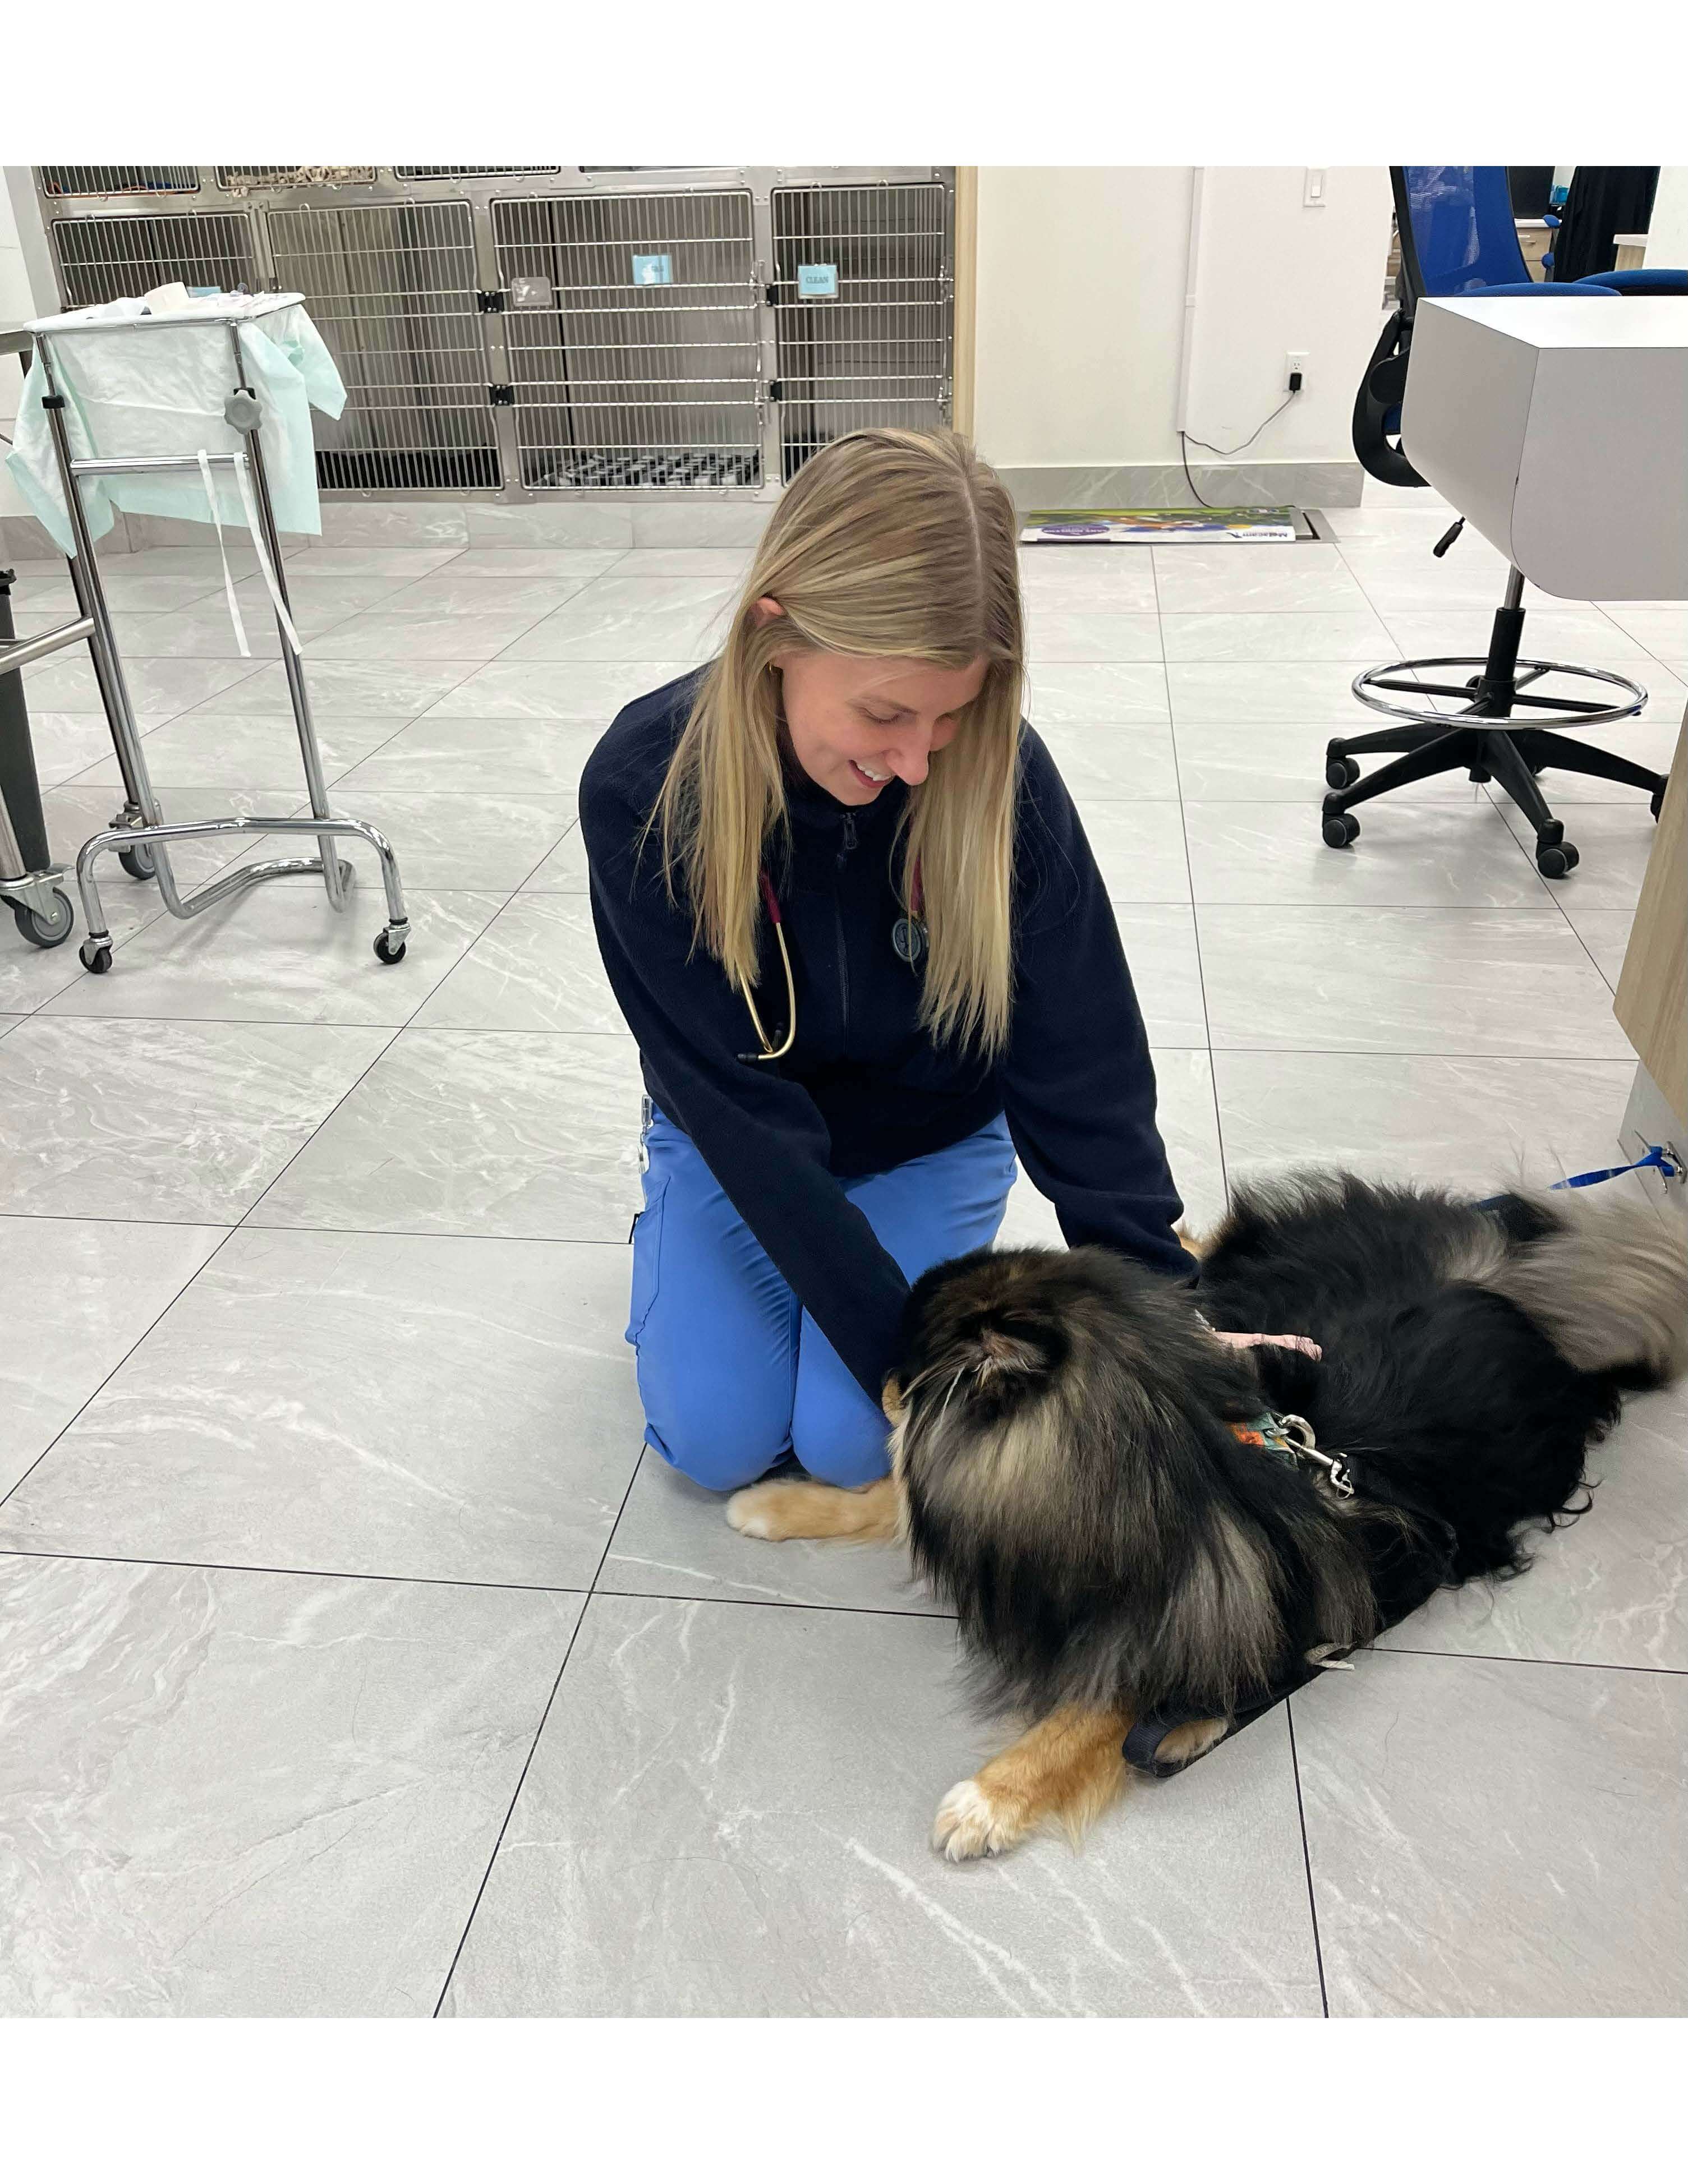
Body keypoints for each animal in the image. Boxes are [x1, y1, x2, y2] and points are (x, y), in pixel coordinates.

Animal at [729, 1179, 1686, 1860]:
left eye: (904, 1364)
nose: (883, 1390)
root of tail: (1516, 1288)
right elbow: (881, 1498)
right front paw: (771, 1505)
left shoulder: (1201, 1642)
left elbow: (1095, 1711)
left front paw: (990, 1797)